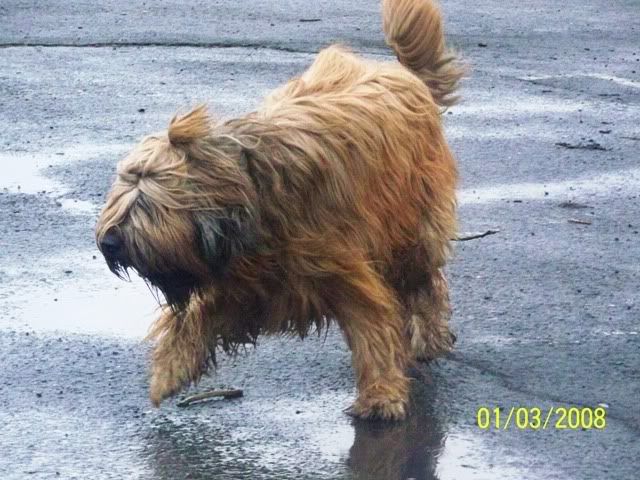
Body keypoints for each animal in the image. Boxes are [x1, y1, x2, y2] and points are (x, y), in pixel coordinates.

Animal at [96, 0, 462, 420]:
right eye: (119, 197)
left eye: (145, 204)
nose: (109, 243)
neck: (248, 186)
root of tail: (404, 75)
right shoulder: (246, 282)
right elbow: (201, 315)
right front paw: (170, 369)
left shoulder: (341, 265)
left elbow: (370, 323)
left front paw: (380, 395)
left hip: (411, 228)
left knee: (425, 283)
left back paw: (428, 337)